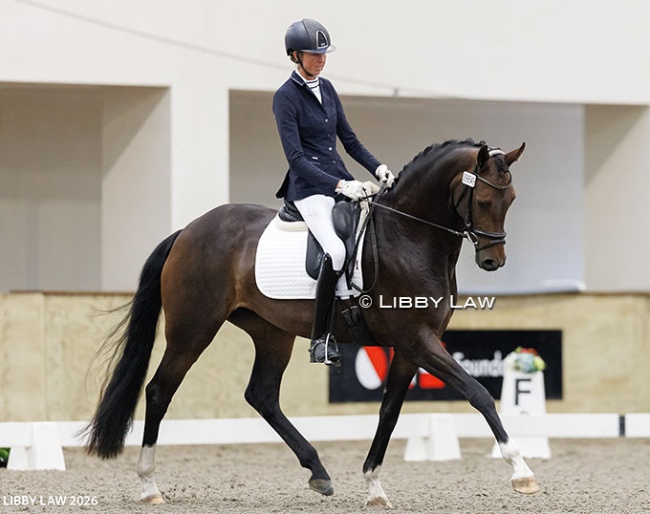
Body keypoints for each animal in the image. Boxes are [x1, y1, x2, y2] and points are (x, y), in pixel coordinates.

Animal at [84, 138, 538, 507]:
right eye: (483, 201)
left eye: (513, 199)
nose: (493, 261)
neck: (409, 236)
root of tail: (188, 231)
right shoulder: (418, 341)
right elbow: (479, 393)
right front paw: (521, 471)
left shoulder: (413, 347)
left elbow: (389, 411)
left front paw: (374, 486)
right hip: (192, 329)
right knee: (159, 390)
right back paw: (149, 486)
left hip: (271, 332)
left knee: (262, 395)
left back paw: (318, 471)